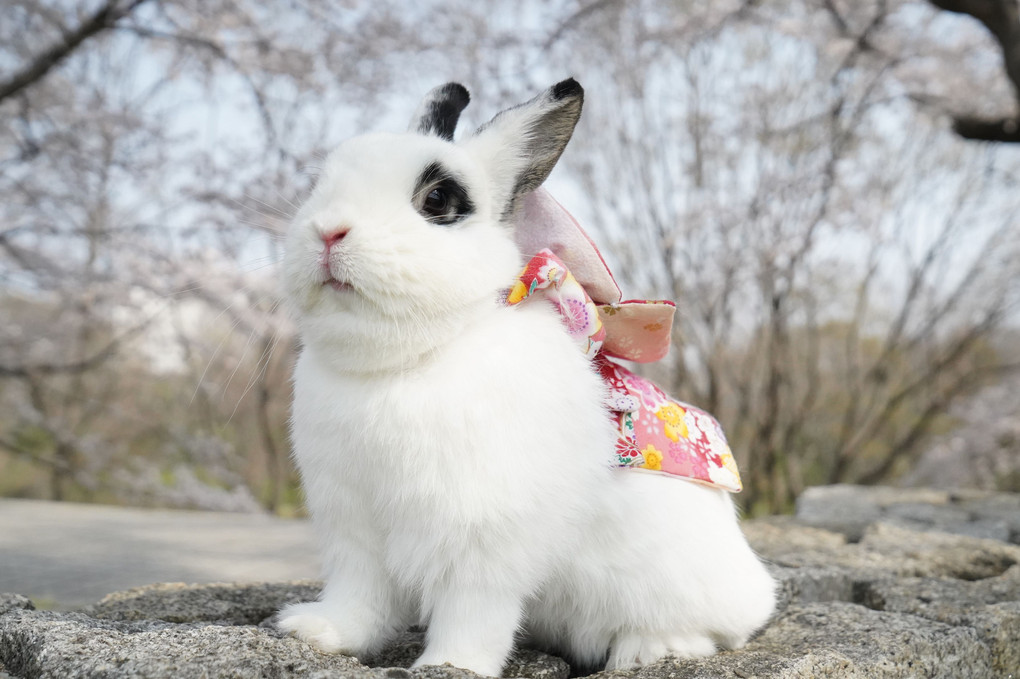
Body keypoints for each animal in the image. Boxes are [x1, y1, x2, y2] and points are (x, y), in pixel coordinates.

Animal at [275, 77, 775, 672]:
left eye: (437, 200)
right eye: (318, 185)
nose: (328, 232)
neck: (404, 361)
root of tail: (755, 586)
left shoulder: (480, 532)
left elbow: (474, 609)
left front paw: (451, 666)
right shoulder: (352, 523)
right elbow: (360, 598)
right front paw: (319, 633)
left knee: (708, 631)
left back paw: (652, 649)